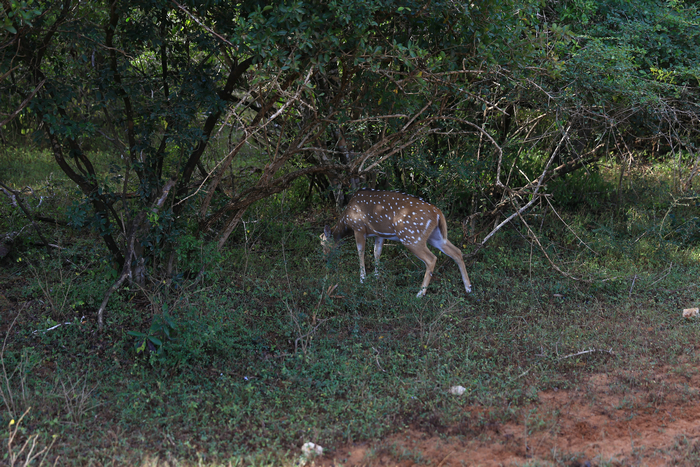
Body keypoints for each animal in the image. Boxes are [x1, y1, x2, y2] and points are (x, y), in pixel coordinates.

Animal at [322, 189, 474, 296]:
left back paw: (420, 293)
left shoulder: (358, 227)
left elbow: (361, 251)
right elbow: (377, 252)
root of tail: (438, 213)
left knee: (432, 258)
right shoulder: (380, 233)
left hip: (411, 237)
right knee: (457, 251)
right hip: (436, 236)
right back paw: (468, 288)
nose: (325, 261)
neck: (346, 222)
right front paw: (376, 276)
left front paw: (362, 279)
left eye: (322, 244)